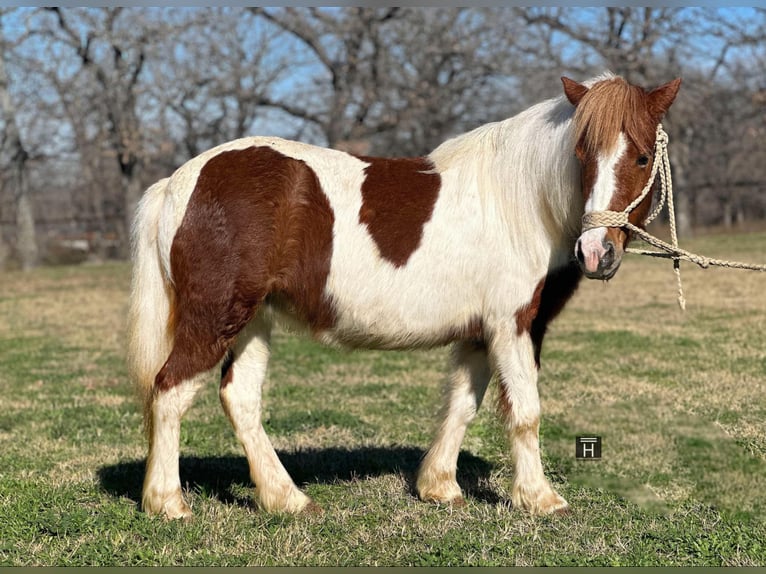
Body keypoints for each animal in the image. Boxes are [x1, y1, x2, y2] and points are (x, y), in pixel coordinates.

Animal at [127, 72, 681, 519]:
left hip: (253, 320)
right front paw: (540, 499)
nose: (595, 252)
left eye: (642, 157)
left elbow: (462, 404)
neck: (520, 200)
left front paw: (440, 488)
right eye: (582, 155)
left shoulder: (480, 333)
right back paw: (168, 503)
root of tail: (178, 182)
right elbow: (525, 411)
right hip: (216, 316)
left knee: (239, 398)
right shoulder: (514, 324)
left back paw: (287, 500)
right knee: (170, 389)